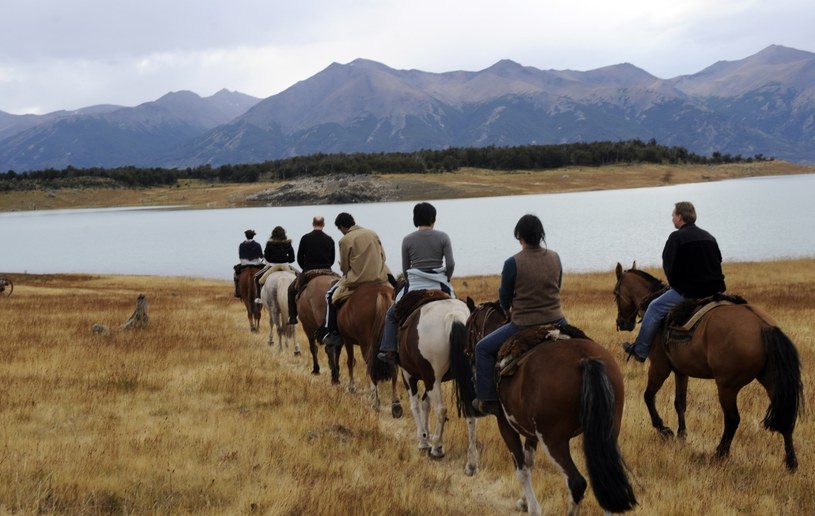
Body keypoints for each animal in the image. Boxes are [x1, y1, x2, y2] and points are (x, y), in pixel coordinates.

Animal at [334, 280, 404, 418]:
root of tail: (381, 292)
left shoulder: (347, 339)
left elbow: (350, 362)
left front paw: (352, 387)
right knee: (393, 369)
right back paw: (396, 405)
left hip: (366, 343)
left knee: (371, 367)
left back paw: (376, 402)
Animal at [466, 298, 636, 516]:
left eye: (469, 329)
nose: (468, 355)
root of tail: (585, 358)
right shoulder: (530, 431)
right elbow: (529, 461)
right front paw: (524, 502)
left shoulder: (505, 424)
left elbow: (522, 468)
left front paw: (532, 507)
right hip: (606, 434)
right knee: (606, 483)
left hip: (553, 440)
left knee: (576, 482)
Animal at [612, 264, 804, 470]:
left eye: (615, 293)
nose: (622, 322)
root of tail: (763, 326)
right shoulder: (681, 371)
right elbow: (680, 402)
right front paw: (681, 435)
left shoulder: (659, 367)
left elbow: (648, 396)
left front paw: (664, 430)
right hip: (771, 381)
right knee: (785, 417)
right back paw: (791, 462)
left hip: (727, 387)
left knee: (732, 419)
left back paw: (720, 454)